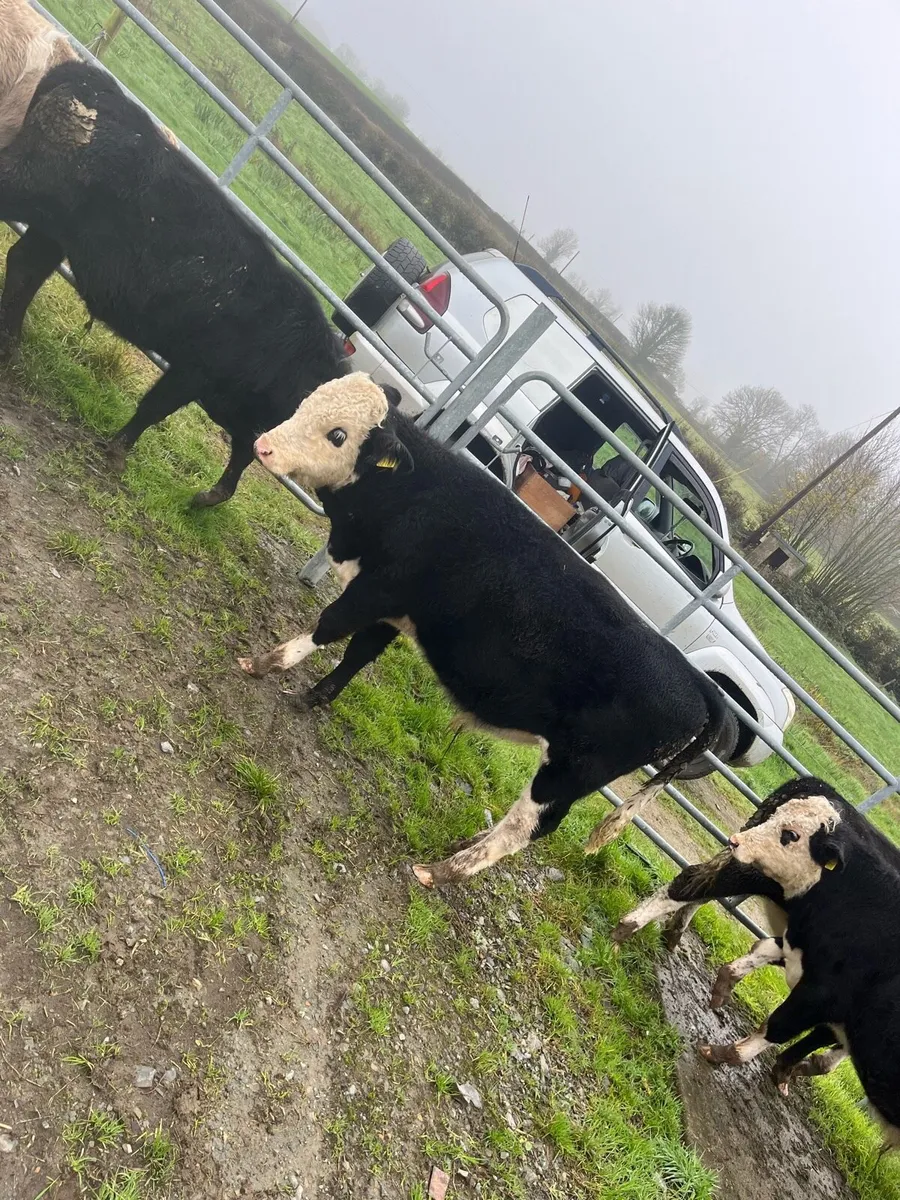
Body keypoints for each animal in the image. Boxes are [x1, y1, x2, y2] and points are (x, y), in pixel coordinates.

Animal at [0, 60, 346, 506]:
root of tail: (89, 78)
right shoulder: (193, 371)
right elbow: (155, 407)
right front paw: (117, 455)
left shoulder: (242, 411)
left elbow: (242, 454)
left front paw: (208, 498)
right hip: (26, 185)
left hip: (54, 230)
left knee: (24, 267)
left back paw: (10, 346)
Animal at [236, 372, 735, 886]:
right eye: (308, 402)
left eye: (338, 434)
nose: (264, 445)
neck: (421, 494)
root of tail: (697, 682)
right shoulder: (398, 609)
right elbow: (358, 654)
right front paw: (315, 696)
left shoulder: (376, 589)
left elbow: (328, 626)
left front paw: (264, 663)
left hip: (572, 771)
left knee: (529, 828)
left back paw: (444, 870)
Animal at [618, 779, 900, 1143]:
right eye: (781, 821)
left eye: (790, 834)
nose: (736, 842)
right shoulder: (824, 992)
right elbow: (779, 1026)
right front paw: (730, 1054)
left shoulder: (823, 984)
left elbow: (766, 956)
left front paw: (727, 987)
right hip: (749, 872)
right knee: (692, 883)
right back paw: (629, 927)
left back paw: (672, 934)